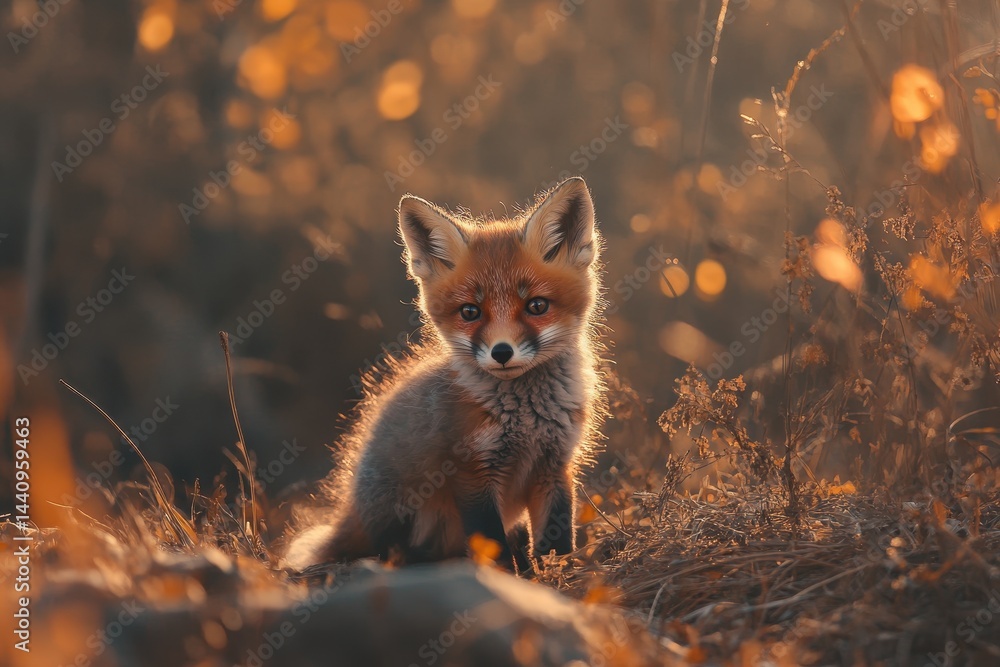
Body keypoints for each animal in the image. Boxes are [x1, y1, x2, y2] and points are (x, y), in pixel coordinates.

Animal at [282, 177, 606, 573]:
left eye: (537, 306)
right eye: (470, 312)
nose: (501, 353)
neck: (526, 419)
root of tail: (353, 509)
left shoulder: (555, 464)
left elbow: (557, 541)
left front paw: (558, 576)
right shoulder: (470, 471)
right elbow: (492, 544)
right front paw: (508, 578)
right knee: (396, 552)